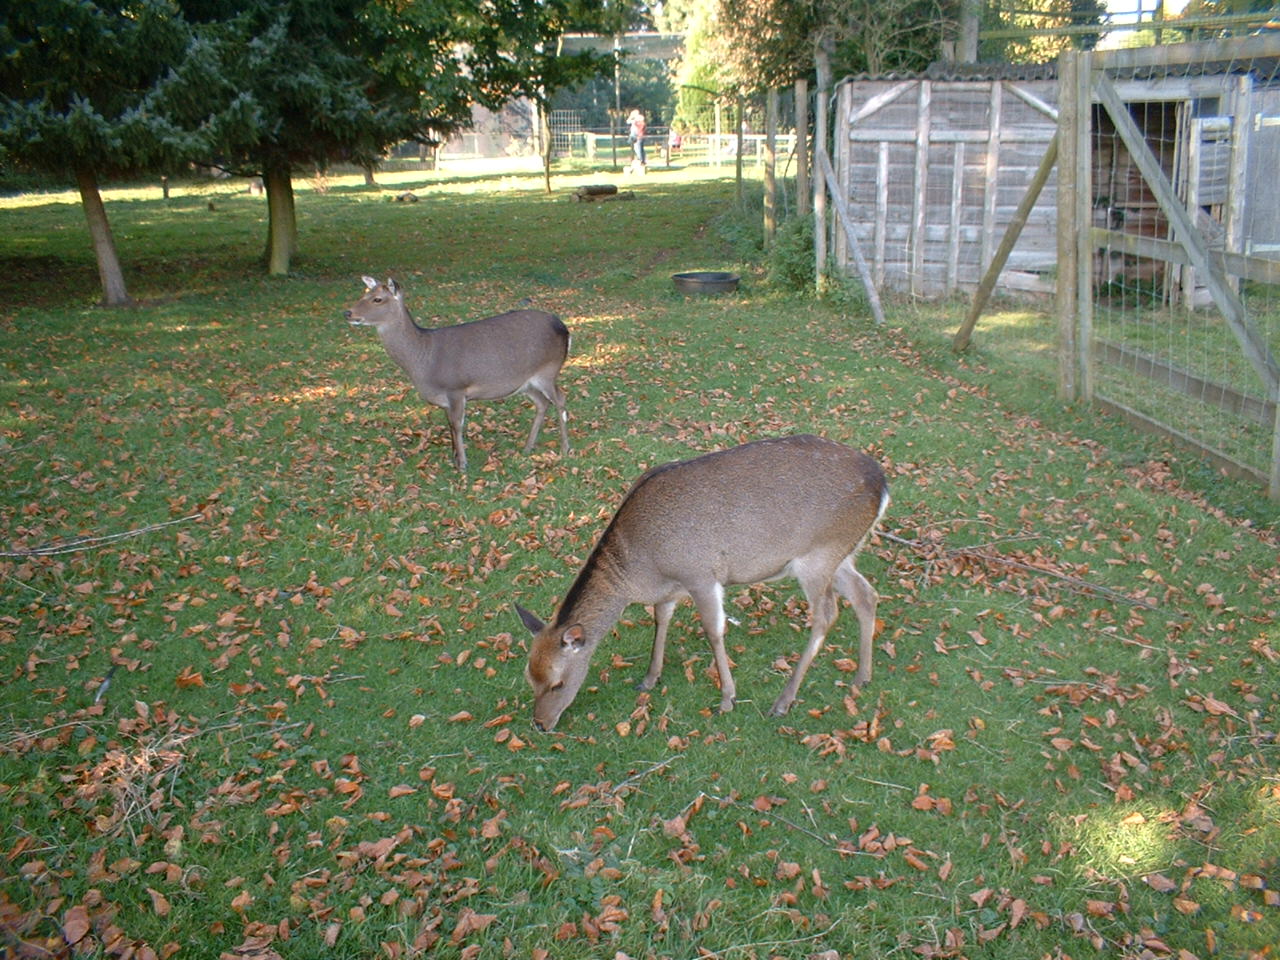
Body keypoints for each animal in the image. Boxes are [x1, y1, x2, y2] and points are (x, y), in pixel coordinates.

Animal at [343, 276, 571, 472]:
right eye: (365, 292)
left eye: (378, 299)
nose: (348, 313)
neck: (424, 362)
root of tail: (565, 329)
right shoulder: (446, 398)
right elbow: (449, 425)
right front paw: (454, 459)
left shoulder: (456, 388)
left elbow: (457, 424)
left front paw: (462, 464)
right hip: (526, 382)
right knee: (542, 402)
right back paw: (527, 447)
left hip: (548, 370)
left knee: (560, 398)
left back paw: (565, 448)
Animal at [516, 434, 890, 731]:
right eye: (529, 677)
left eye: (557, 683)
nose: (539, 724)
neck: (642, 570)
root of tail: (883, 485)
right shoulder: (671, 588)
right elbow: (661, 618)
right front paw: (649, 679)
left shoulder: (701, 575)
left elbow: (713, 630)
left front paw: (727, 698)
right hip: (841, 555)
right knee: (866, 594)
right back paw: (863, 676)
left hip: (818, 555)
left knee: (827, 614)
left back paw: (783, 701)